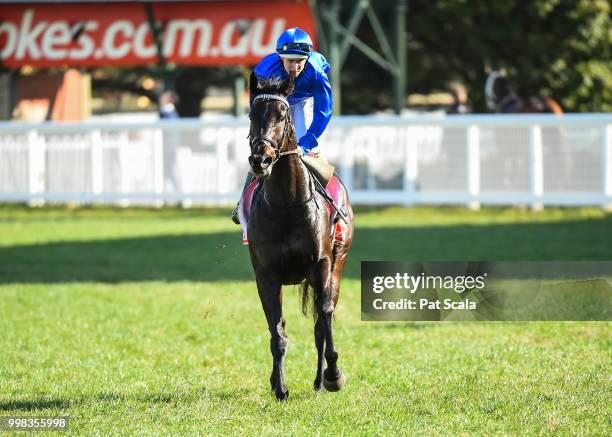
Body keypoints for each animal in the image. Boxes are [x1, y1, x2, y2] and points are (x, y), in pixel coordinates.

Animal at [246, 73, 354, 400]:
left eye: (282, 115)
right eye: (252, 115)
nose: (261, 160)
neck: (287, 203)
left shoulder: (321, 264)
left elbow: (324, 318)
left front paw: (333, 375)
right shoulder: (266, 274)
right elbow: (277, 330)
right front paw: (280, 387)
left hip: (338, 263)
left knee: (321, 323)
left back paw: (321, 380)